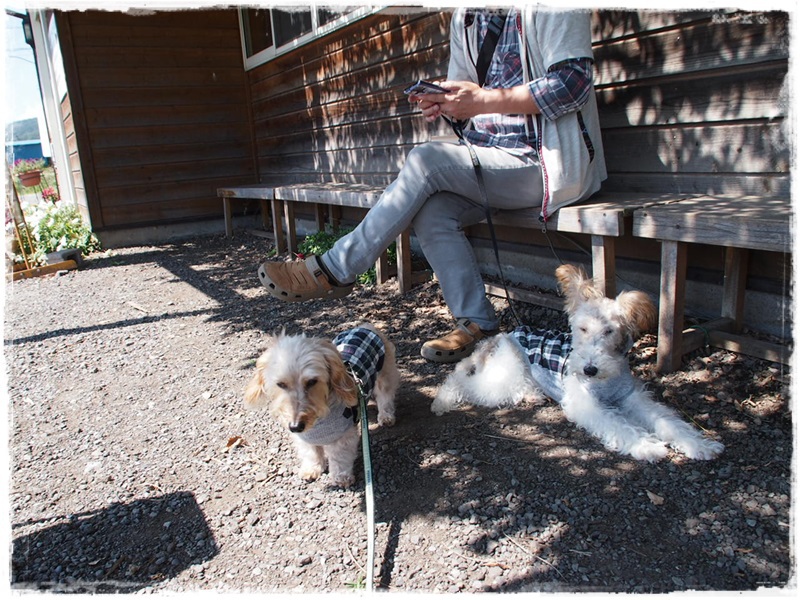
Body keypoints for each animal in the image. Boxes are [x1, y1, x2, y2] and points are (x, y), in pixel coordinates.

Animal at [434, 264, 720, 462]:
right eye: (581, 328)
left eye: (609, 331)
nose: (589, 369)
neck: (606, 380)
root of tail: (502, 336)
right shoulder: (586, 403)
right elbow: (619, 424)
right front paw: (647, 446)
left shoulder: (632, 397)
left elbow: (668, 421)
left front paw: (700, 445)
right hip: (505, 373)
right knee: (461, 380)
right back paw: (441, 401)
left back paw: (532, 395)